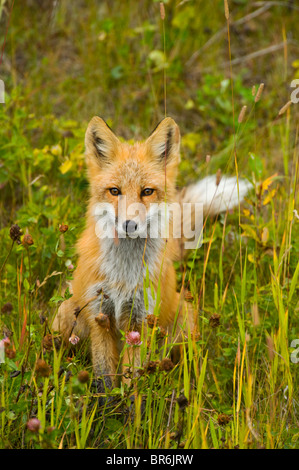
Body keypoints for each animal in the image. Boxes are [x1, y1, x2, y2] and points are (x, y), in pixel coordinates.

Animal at [52, 116, 252, 392]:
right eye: (115, 191)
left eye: (147, 191)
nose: (129, 225)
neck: (123, 275)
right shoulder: (99, 316)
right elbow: (105, 378)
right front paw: (106, 402)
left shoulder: (140, 320)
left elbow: (132, 379)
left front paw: (130, 402)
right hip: (65, 314)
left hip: (184, 322)